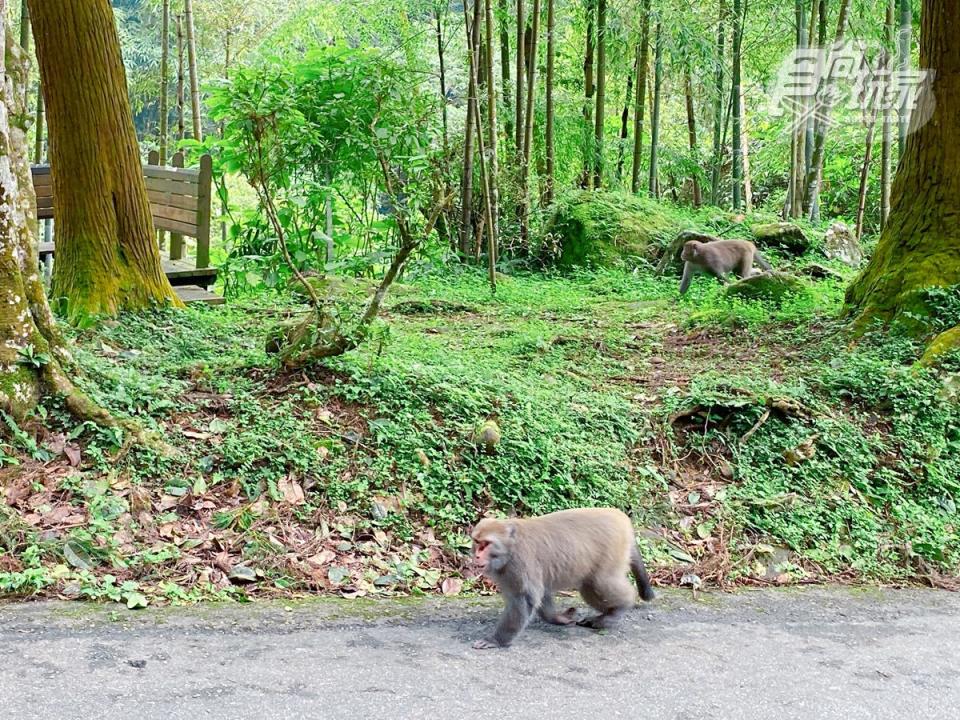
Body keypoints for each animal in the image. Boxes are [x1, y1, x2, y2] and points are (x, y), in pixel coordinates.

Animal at [470, 506, 656, 652]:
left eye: (486, 544)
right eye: (477, 542)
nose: (477, 556)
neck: (510, 546)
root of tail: (620, 516)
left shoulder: (520, 564)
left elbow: (524, 599)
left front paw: (495, 640)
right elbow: (541, 593)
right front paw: (557, 618)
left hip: (613, 550)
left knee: (599, 583)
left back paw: (617, 610)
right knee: (589, 586)